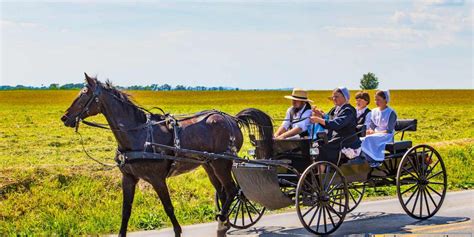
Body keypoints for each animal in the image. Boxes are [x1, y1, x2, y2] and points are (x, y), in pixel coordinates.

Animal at [61, 73, 272, 236]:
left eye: (84, 95)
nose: (65, 118)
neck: (138, 134)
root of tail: (232, 119)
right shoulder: (128, 178)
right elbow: (126, 210)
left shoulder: (157, 179)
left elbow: (168, 207)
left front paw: (178, 231)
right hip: (209, 164)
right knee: (222, 192)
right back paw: (224, 222)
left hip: (222, 163)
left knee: (232, 190)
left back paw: (222, 221)